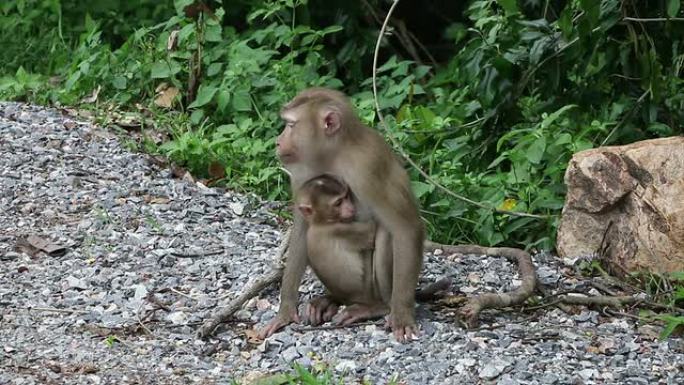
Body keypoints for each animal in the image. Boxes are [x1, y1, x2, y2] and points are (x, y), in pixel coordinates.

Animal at [260, 88, 424, 342]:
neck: (334, 153)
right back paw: (330, 300)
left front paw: (402, 316)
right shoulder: (302, 171)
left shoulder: (368, 166)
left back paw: (379, 307)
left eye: (290, 125)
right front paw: (285, 309)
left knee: (386, 233)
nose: (278, 140)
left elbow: (405, 228)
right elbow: (302, 228)